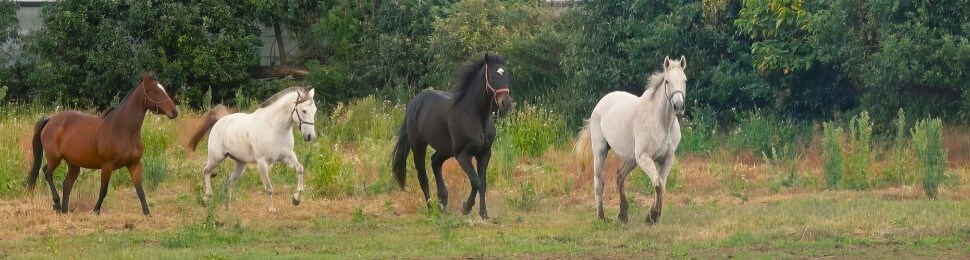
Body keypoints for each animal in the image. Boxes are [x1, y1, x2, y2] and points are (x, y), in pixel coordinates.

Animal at [25, 72, 178, 214]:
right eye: (156, 91)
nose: (174, 112)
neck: (122, 129)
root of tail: (51, 119)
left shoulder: (134, 165)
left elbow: (140, 190)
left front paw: (147, 213)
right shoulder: (107, 166)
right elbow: (103, 190)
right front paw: (95, 211)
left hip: (73, 164)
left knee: (66, 184)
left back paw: (64, 210)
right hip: (54, 158)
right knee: (46, 173)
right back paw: (56, 204)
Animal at [185, 86, 314, 212]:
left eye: (315, 111)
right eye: (304, 111)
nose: (310, 136)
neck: (274, 128)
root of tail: (220, 120)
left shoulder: (287, 156)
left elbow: (300, 169)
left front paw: (296, 199)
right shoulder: (262, 162)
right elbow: (269, 187)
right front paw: (272, 209)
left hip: (240, 164)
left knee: (228, 183)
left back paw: (228, 208)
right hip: (217, 157)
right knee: (206, 170)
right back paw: (207, 197)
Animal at [572, 56, 684, 223]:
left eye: (685, 80)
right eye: (667, 81)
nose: (678, 107)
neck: (662, 123)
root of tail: (600, 103)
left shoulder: (667, 159)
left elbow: (661, 185)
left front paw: (653, 216)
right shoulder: (644, 157)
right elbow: (657, 184)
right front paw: (652, 216)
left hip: (632, 159)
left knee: (620, 176)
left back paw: (623, 215)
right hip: (601, 151)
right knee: (599, 182)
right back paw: (601, 217)